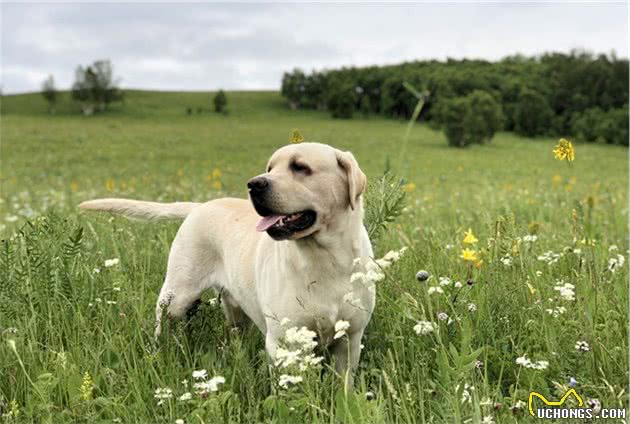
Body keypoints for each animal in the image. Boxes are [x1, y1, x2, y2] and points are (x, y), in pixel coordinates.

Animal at [79, 142, 376, 388]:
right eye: (270, 168)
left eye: (300, 167)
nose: (254, 184)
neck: (325, 258)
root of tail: (199, 206)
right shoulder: (283, 340)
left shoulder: (351, 338)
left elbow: (343, 385)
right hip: (176, 296)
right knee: (163, 324)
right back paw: (159, 352)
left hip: (235, 311)